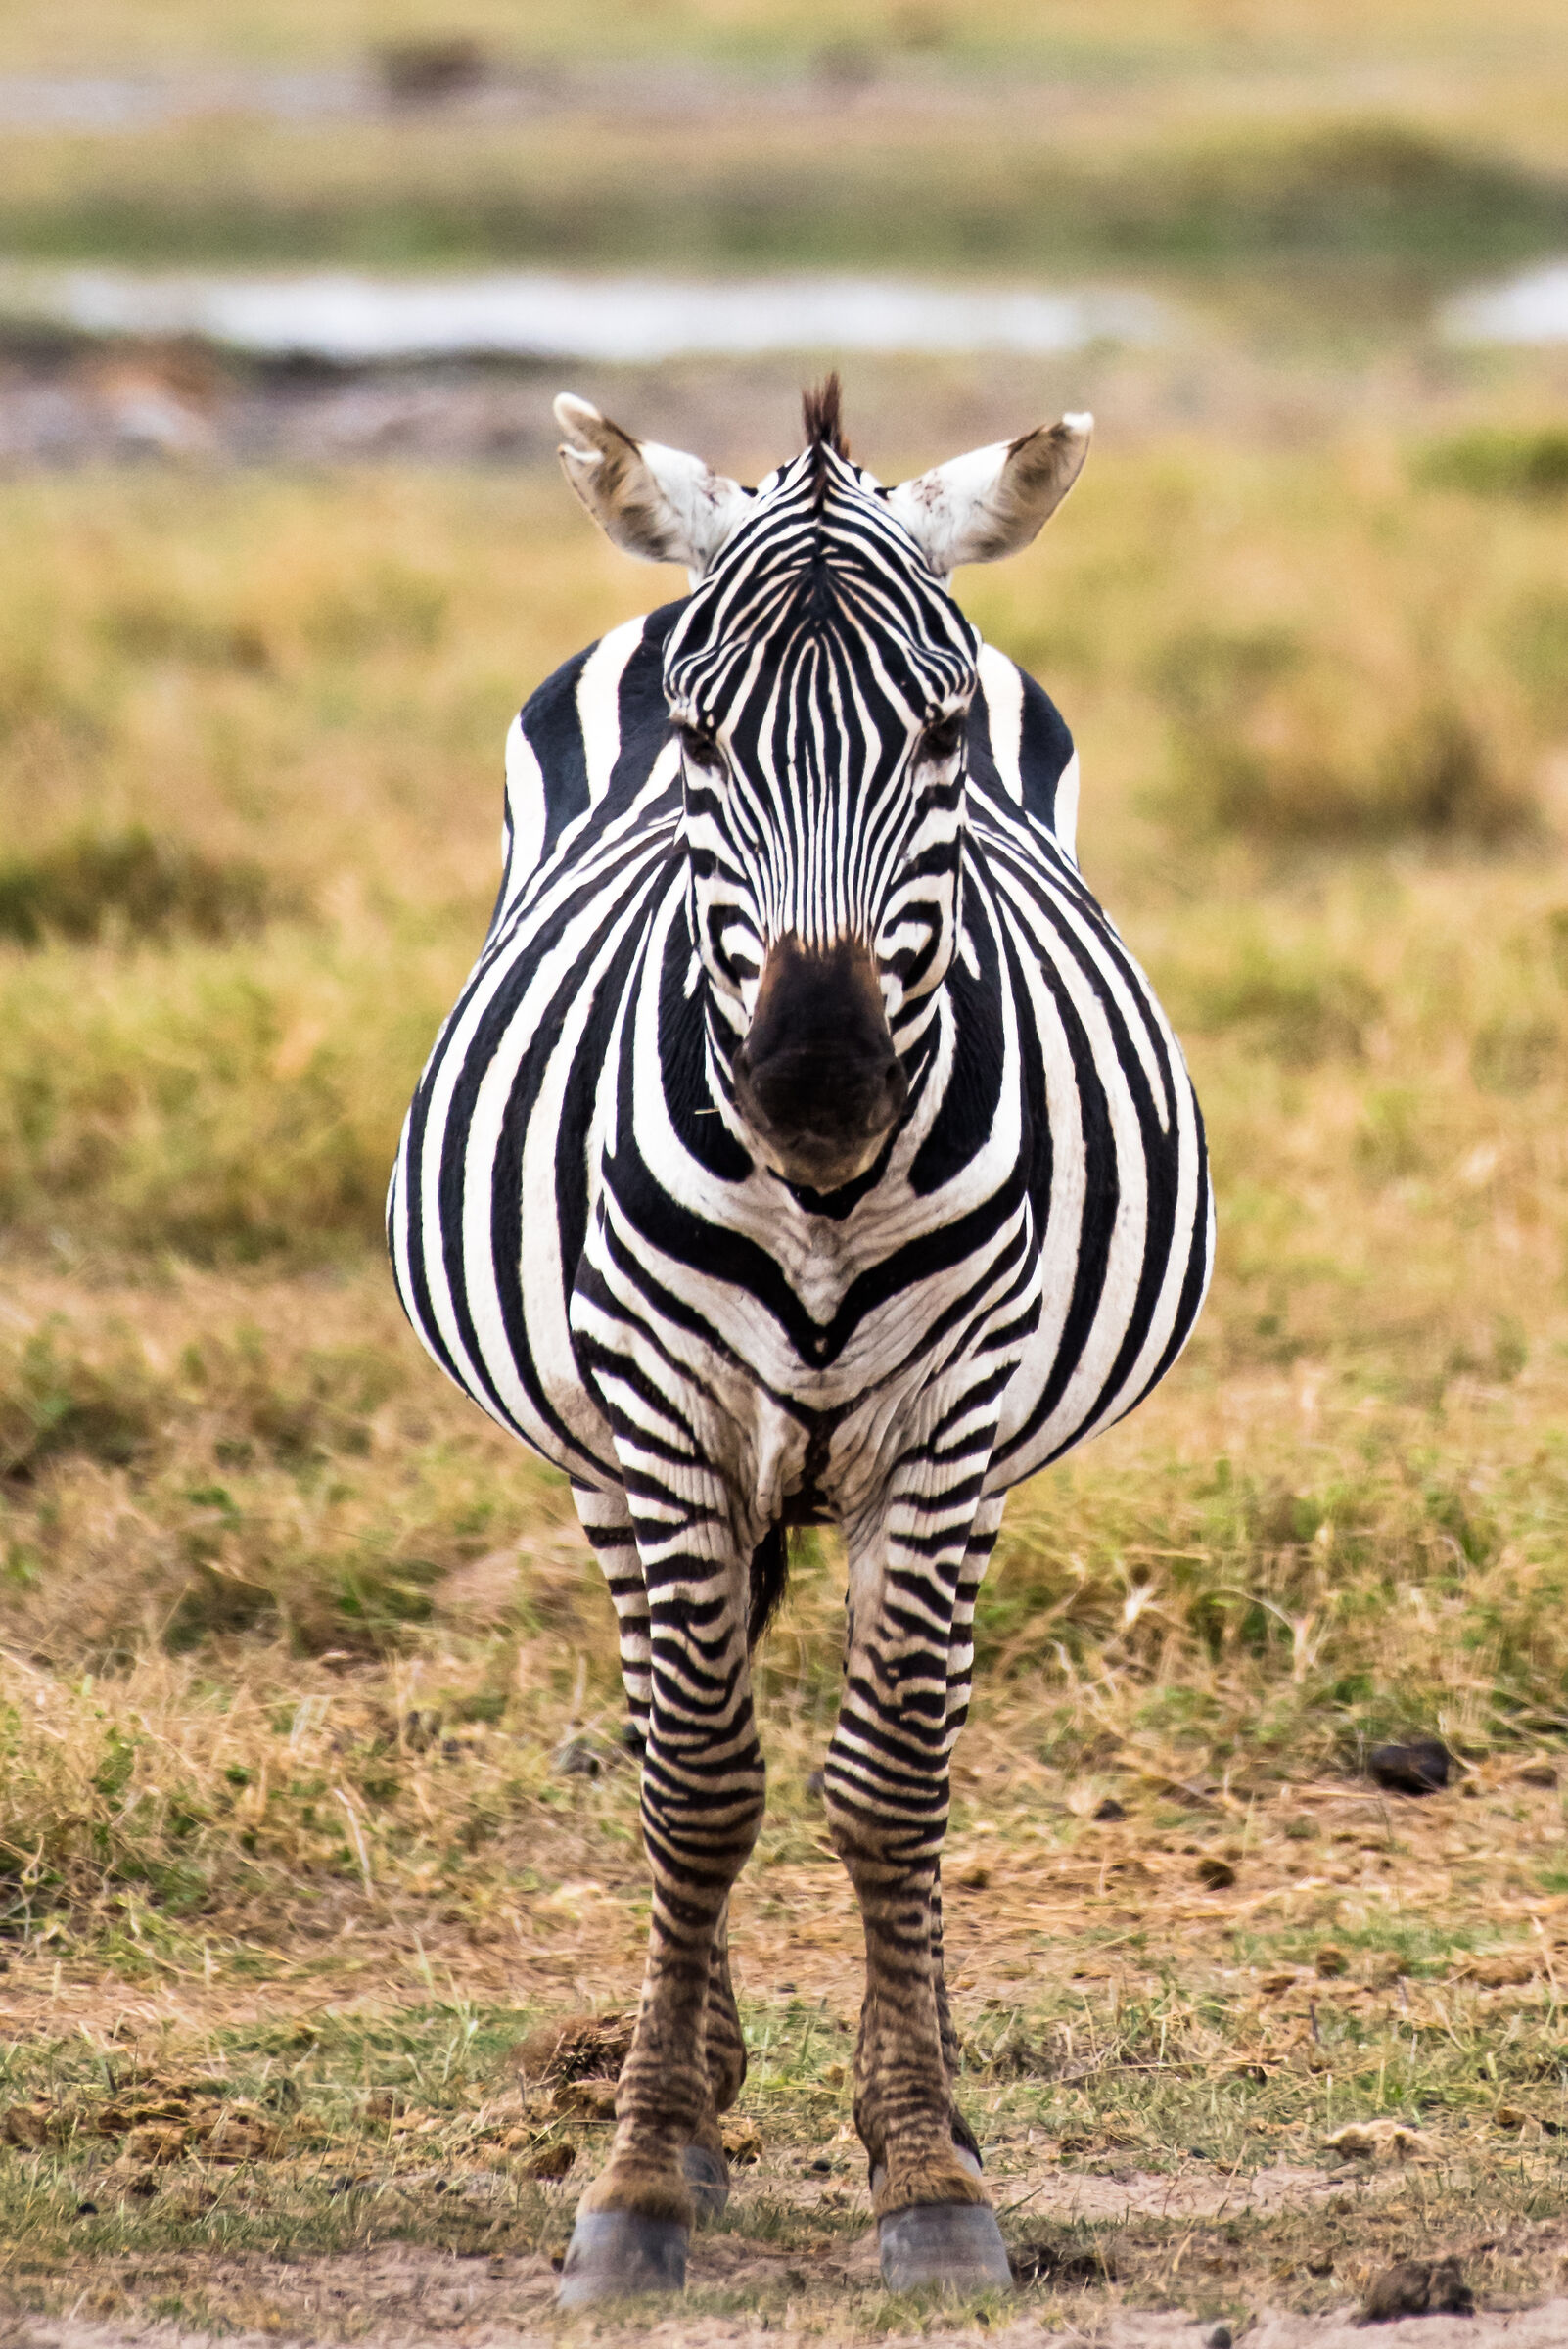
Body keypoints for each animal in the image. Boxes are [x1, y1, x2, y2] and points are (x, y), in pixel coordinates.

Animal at [388, 378, 1212, 2302]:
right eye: (697, 737)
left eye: (938, 732)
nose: (819, 1087)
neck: (822, 1203)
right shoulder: (666, 1413)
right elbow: (697, 1789)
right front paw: (639, 2177)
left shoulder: (950, 1423)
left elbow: (892, 1785)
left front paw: (926, 2164)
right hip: (605, 1456)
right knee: (668, 1723)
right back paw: (691, 2090)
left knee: (900, 1744)